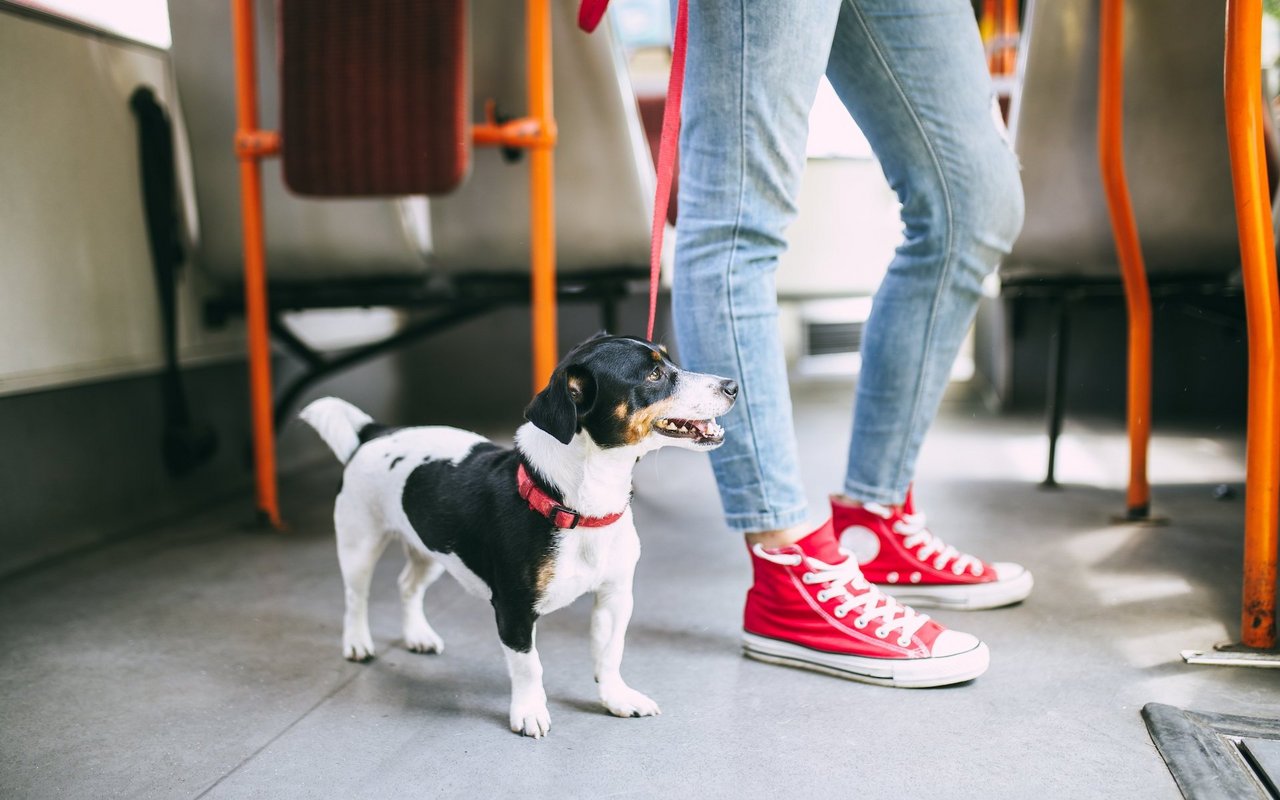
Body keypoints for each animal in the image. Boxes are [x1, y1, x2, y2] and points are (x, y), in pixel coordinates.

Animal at [299, 332, 737, 737]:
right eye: (653, 374)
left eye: (668, 359)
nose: (733, 385)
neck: (579, 505)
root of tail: (376, 433)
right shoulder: (514, 609)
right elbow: (529, 667)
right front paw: (529, 713)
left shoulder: (615, 596)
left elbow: (610, 654)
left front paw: (616, 698)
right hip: (359, 542)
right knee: (356, 596)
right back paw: (357, 643)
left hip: (434, 548)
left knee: (408, 585)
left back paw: (418, 635)